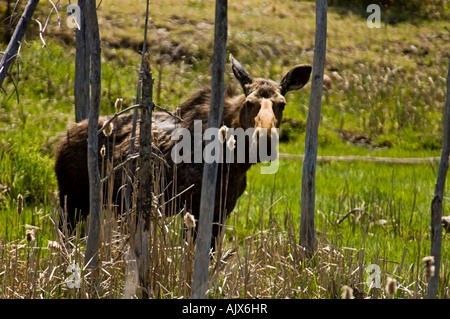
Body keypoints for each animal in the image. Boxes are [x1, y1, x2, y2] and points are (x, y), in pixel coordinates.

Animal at [54, 55, 312, 249]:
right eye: (249, 103)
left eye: (282, 104)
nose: (265, 140)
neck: (234, 164)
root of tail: (61, 141)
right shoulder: (194, 207)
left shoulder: (222, 211)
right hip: (72, 202)